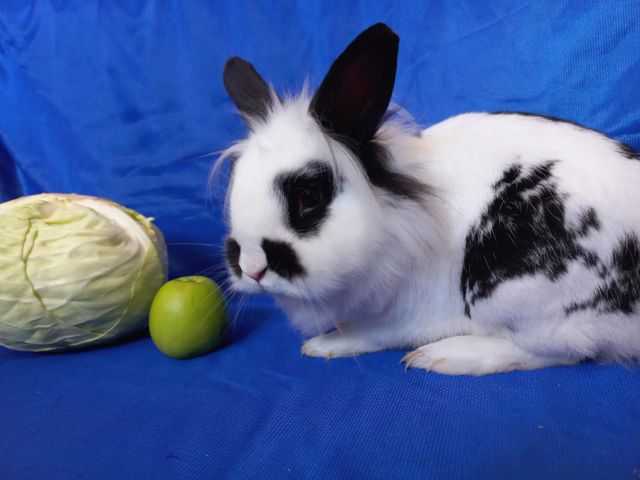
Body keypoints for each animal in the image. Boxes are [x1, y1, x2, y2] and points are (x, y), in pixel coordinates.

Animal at [217, 23, 640, 375]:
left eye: (309, 196)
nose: (253, 268)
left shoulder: (399, 316)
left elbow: (371, 335)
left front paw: (324, 344)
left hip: (520, 295)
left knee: (559, 350)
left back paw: (445, 356)